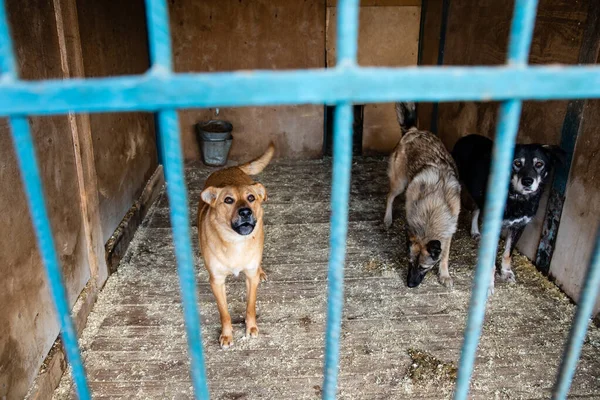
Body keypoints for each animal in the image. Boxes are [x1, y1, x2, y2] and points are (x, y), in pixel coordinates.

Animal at [199, 142, 274, 348]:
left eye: (251, 198)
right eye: (228, 200)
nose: (246, 212)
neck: (235, 242)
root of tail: (230, 168)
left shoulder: (250, 277)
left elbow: (250, 306)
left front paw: (251, 327)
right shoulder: (216, 281)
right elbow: (224, 313)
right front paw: (226, 334)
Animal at [452, 134, 564, 294]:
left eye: (539, 164)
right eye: (517, 163)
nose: (527, 181)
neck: (517, 199)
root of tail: (467, 136)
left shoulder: (519, 226)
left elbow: (507, 253)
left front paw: (506, 272)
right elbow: (490, 261)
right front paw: (487, 284)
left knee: (476, 209)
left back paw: (475, 231)